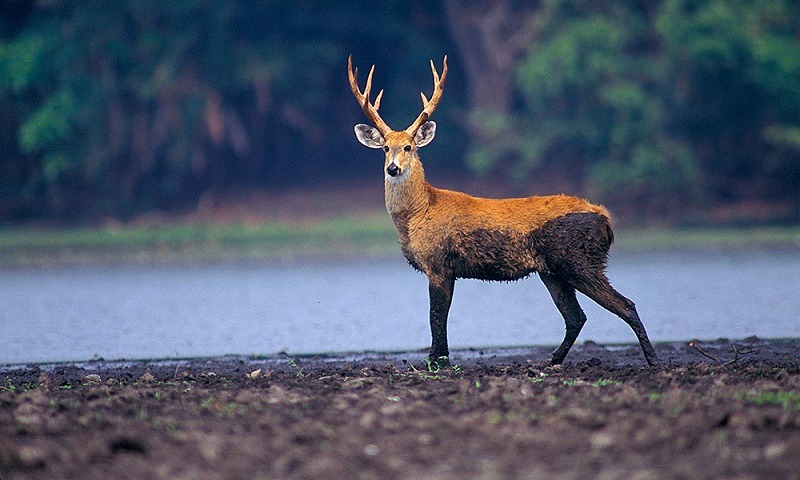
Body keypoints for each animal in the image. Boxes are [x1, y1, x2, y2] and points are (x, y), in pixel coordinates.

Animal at [347, 55, 661, 368]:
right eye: (385, 148)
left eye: (409, 147)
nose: (393, 168)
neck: (420, 212)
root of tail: (606, 221)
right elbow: (439, 317)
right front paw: (438, 359)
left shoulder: (439, 264)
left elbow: (436, 318)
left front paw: (437, 361)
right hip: (553, 271)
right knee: (576, 317)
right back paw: (550, 360)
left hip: (580, 260)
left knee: (625, 305)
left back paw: (653, 361)